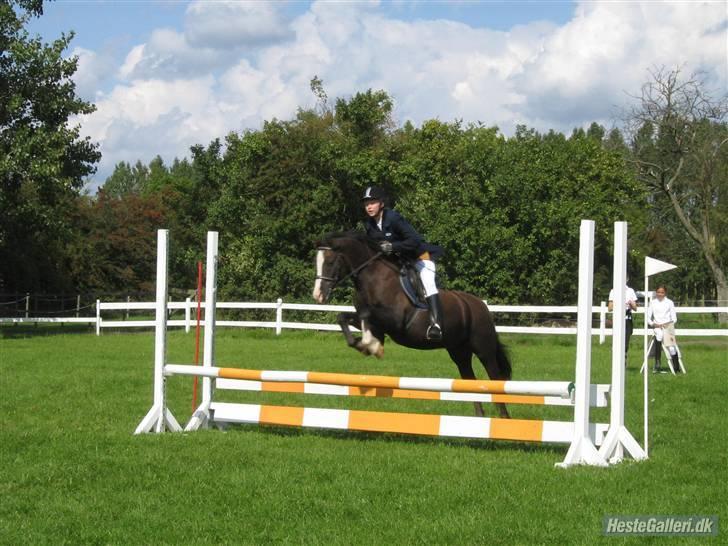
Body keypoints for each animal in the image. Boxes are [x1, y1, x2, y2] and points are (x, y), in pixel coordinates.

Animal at [312, 231, 512, 418]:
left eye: (330, 262)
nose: (318, 296)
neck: (373, 278)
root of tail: (481, 306)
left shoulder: (394, 320)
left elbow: (366, 315)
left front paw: (372, 345)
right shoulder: (374, 321)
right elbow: (343, 317)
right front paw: (368, 345)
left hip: (483, 349)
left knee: (495, 378)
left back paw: (503, 417)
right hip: (459, 351)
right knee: (469, 379)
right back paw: (480, 418)